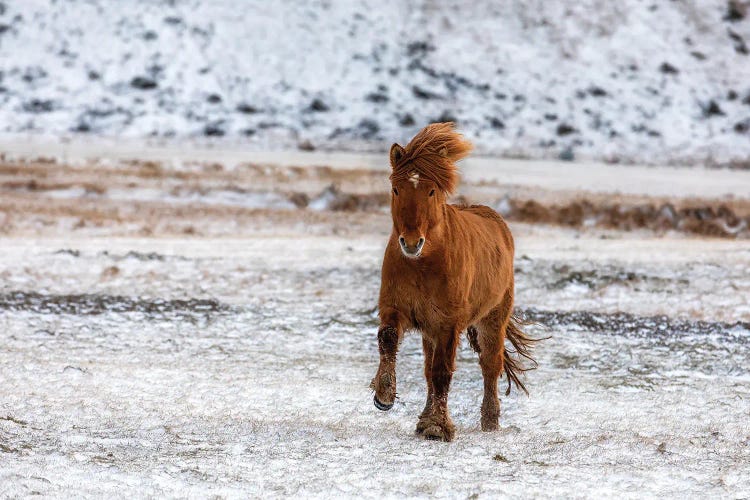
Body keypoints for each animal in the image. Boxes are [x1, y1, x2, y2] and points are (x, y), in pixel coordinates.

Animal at [372, 122, 536, 442]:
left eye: (431, 190)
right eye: (396, 189)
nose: (411, 242)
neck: (422, 264)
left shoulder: (448, 324)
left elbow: (442, 372)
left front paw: (437, 426)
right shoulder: (395, 307)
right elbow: (388, 340)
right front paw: (384, 395)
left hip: (492, 319)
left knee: (490, 366)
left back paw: (490, 421)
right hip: (431, 329)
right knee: (428, 369)